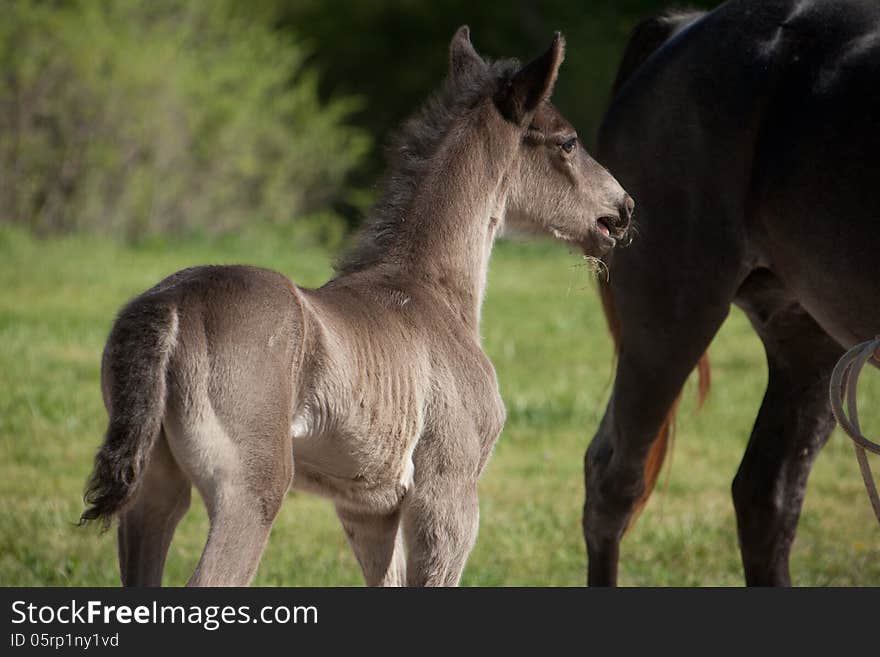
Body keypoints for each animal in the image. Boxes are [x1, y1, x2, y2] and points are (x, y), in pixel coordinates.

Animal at [81, 28, 632, 588]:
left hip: (154, 493)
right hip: (250, 491)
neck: (432, 293)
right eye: (568, 141)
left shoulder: (368, 508)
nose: (623, 209)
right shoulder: (447, 494)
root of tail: (171, 306)